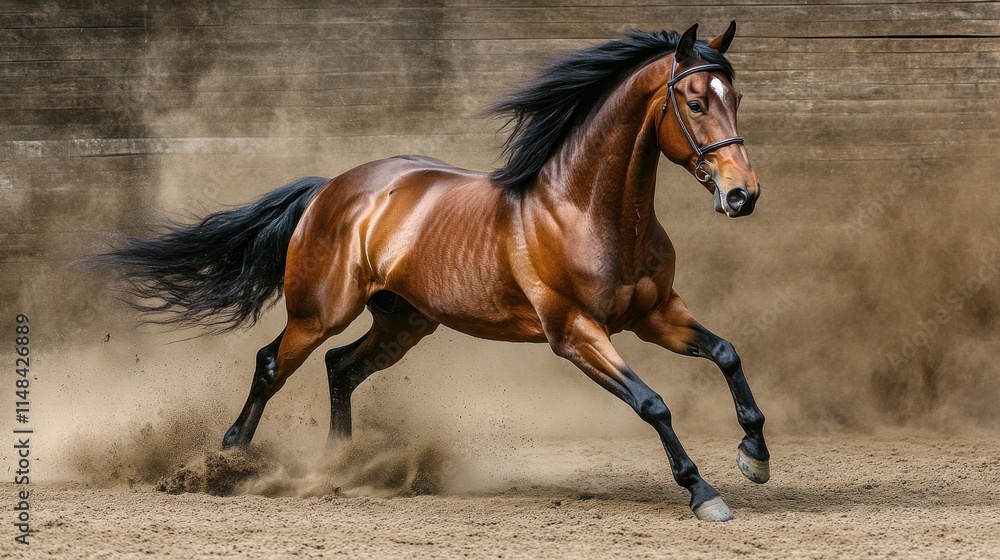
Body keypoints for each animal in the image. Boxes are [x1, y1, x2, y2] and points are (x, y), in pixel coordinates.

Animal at [90, 22, 769, 522]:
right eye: (695, 102)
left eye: (736, 98)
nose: (743, 196)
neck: (584, 210)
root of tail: (329, 189)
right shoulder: (576, 333)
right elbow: (652, 402)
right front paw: (703, 492)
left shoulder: (657, 315)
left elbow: (727, 352)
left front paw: (754, 454)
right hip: (319, 312)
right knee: (273, 364)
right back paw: (230, 459)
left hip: (405, 322)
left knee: (342, 368)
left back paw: (340, 467)